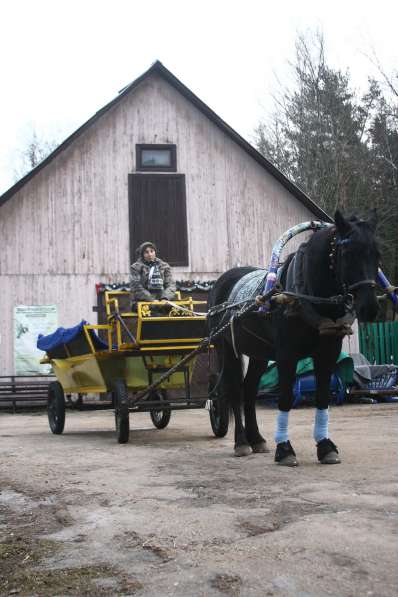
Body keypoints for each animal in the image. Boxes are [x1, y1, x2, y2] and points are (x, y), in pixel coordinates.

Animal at [208, 210, 380, 466]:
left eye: (377, 254)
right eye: (349, 254)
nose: (370, 308)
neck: (306, 295)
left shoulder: (327, 353)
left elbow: (322, 397)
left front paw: (325, 446)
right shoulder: (286, 355)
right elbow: (286, 397)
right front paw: (285, 449)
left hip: (259, 353)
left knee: (249, 389)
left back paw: (256, 439)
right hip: (227, 350)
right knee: (235, 390)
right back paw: (241, 442)